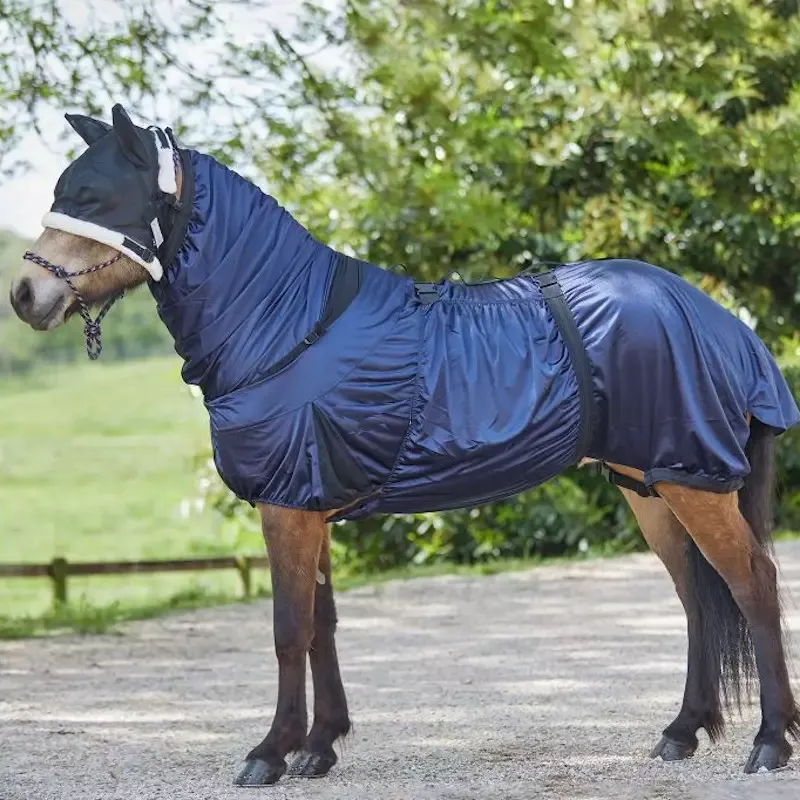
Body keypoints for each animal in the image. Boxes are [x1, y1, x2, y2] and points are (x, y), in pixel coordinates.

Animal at [8, 103, 800, 785]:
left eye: (96, 197)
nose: (23, 296)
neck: (289, 326)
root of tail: (718, 319)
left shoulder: (285, 506)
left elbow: (288, 629)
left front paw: (269, 752)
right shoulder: (309, 503)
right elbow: (322, 626)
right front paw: (319, 747)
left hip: (692, 481)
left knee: (752, 584)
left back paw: (768, 743)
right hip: (651, 485)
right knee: (697, 599)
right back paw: (682, 732)